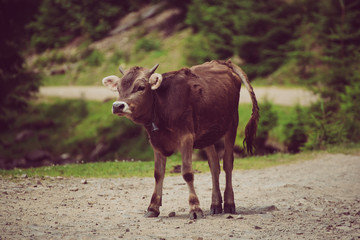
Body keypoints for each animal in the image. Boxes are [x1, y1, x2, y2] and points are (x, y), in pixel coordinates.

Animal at [102, 59, 258, 219]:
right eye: (118, 88)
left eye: (141, 87)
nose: (118, 106)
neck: (162, 107)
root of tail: (222, 62)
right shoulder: (156, 141)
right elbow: (158, 174)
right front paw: (153, 207)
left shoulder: (186, 138)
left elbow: (187, 173)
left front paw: (195, 208)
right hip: (207, 134)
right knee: (214, 165)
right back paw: (215, 204)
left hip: (232, 124)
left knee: (227, 163)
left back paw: (229, 203)